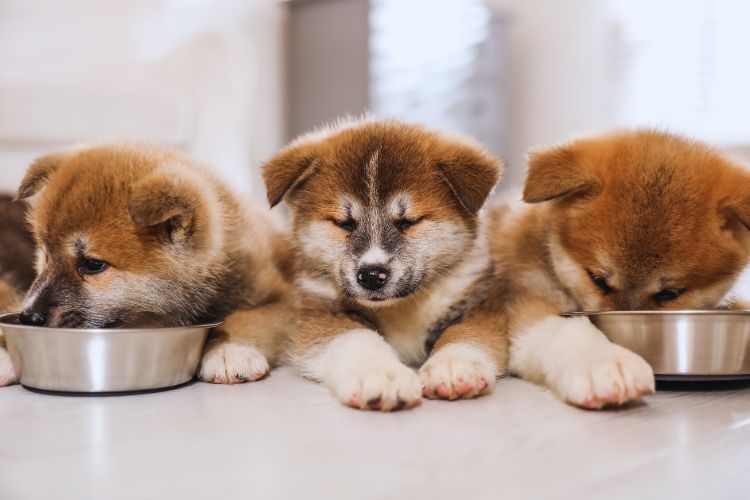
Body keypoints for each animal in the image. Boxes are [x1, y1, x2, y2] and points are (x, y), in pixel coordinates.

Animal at [0, 144, 294, 386]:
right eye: (45, 255)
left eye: (93, 264)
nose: (29, 318)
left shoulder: (283, 299)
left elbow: (246, 319)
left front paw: (230, 350)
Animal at [262, 118, 508, 410]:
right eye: (344, 223)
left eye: (409, 221)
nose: (371, 275)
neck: (401, 307)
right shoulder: (323, 313)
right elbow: (357, 340)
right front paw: (380, 374)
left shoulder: (479, 306)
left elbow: (465, 333)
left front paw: (453, 364)